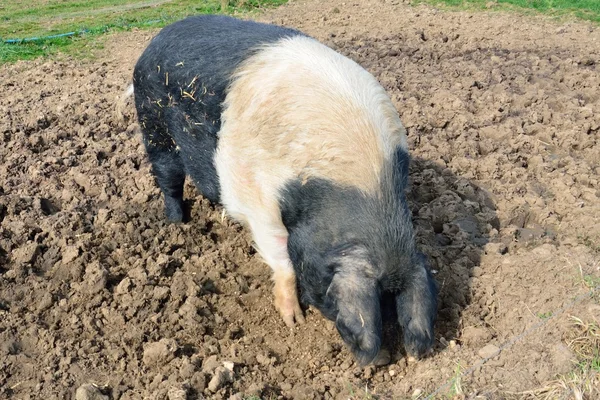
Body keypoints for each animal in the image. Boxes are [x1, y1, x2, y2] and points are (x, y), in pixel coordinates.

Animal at [131, 14, 438, 366]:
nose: (383, 360)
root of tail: (159, 36)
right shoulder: (260, 202)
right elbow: (283, 260)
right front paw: (294, 321)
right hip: (153, 123)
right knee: (167, 176)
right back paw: (177, 223)